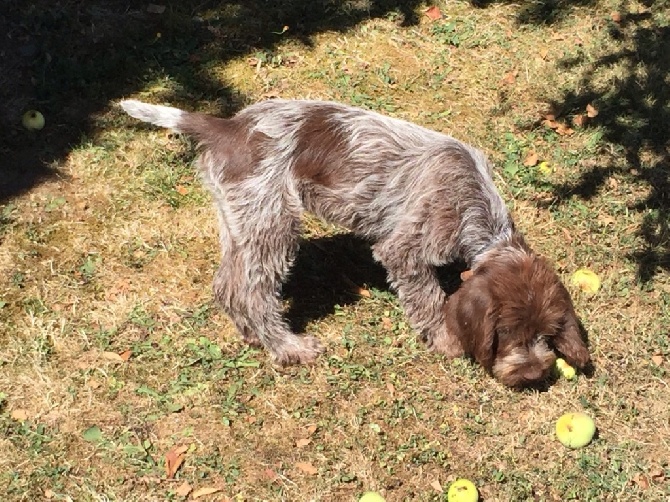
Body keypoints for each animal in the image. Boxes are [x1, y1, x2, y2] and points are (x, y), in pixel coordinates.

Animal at [121, 99, 592, 388]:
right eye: (507, 333)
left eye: (547, 334)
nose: (532, 376)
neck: (475, 201)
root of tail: (228, 126)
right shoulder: (405, 249)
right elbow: (428, 299)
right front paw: (445, 341)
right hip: (273, 222)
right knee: (254, 293)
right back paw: (288, 348)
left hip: (242, 220)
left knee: (227, 285)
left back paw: (252, 336)